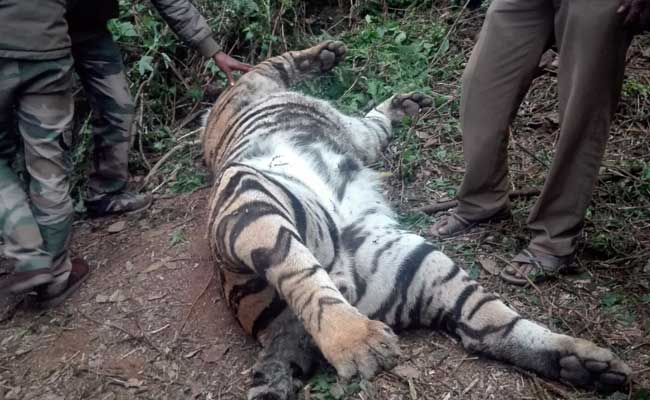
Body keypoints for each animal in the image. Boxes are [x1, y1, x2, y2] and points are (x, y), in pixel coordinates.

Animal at [201, 41, 631, 399]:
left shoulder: (355, 131)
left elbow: (286, 69)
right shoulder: (258, 90)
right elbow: (274, 63)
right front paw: (323, 56)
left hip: (405, 259)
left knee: (486, 325)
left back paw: (585, 364)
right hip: (250, 196)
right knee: (299, 270)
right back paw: (361, 342)